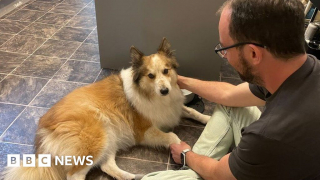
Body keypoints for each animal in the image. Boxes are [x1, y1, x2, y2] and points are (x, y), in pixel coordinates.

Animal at [4, 37, 212, 180]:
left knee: (106, 166)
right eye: (150, 75)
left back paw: (130, 177)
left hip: (110, 135)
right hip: (96, 137)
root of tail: (42, 130)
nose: (164, 90)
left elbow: (193, 111)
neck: (150, 94)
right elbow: (173, 137)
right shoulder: (144, 131)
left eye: (166, 71)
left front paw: (208, 119)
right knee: (75, 175)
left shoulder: (173, 107)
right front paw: (181, 149)